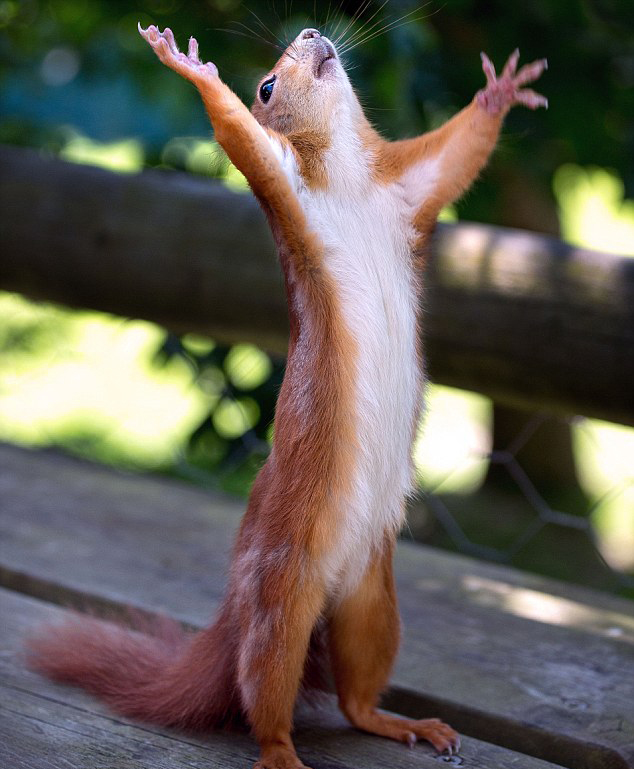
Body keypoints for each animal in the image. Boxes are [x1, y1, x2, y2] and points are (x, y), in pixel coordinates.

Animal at [26, 22, 547, 769]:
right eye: (267, 86)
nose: (310, 32)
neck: (350, 180)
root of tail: (237, 611)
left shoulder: (409, 190)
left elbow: (457, 154)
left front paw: (499, 92)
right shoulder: (284, 184)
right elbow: (239, 136)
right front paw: (191, 68)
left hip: (372, 600)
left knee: (356, 695)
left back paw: (402, 722)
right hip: (281, 599)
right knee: (263, 693)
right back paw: (281, 751)